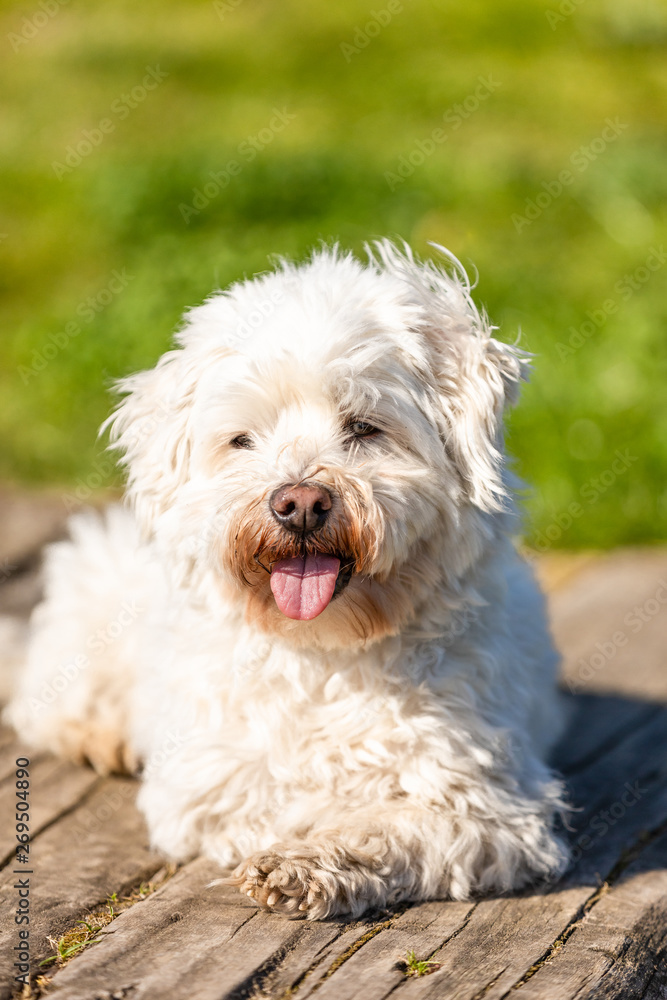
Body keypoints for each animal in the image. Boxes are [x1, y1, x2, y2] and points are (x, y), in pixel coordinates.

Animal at [5, 240, 568, 916]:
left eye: (364, 426)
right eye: (241, 439)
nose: (299, 503)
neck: (326, 650)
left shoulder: (494, 809)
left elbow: (394, 822)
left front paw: (310, 862)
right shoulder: (208, 782)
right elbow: (283, 797)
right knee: (44, 696)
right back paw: (99, 735)